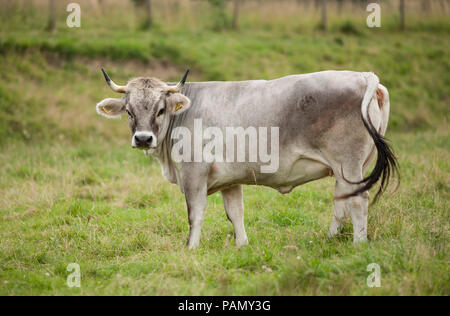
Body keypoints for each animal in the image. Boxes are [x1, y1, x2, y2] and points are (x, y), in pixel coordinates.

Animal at [95, 69, 398, 249]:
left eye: (160, 110)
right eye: (129, 111)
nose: (143, 138)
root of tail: (362, 75)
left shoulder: (193, 174)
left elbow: (195, 214)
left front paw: (191, 248)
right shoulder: (230, 180)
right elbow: (235, 213)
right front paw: (242, 245)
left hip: (349, 163)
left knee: (358, 201)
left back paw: (359, 244)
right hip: (344, 170)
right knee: (341, 202)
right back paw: (330, 238)